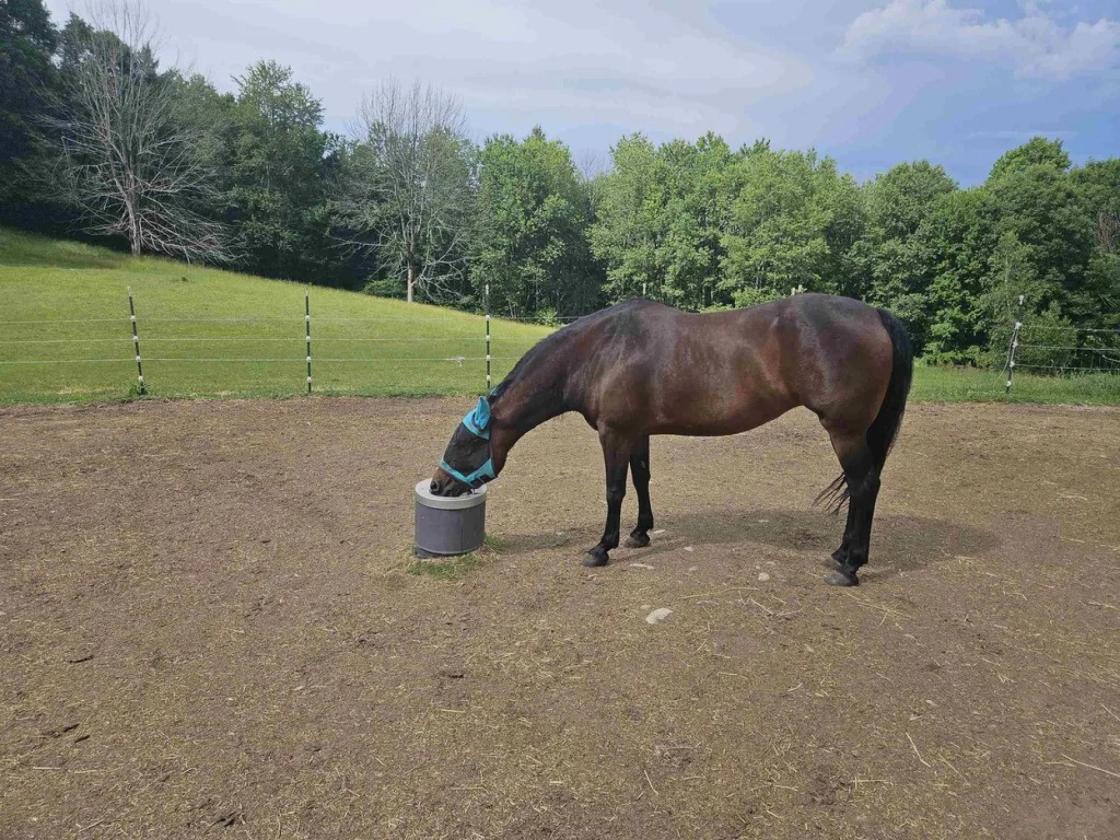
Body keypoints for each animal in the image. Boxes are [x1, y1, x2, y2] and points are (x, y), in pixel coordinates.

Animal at [429, 293, 913, 586]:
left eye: (465, 444)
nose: (437, 485)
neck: (602, 351)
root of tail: (875, 315)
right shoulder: (637, 431)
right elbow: (642, 479)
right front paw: (640, 533)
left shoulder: (614, 432)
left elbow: (614, 489)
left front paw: (601, 548)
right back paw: (840, 553)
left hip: (844, 431)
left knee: (865, 486)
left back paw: (850, 565)